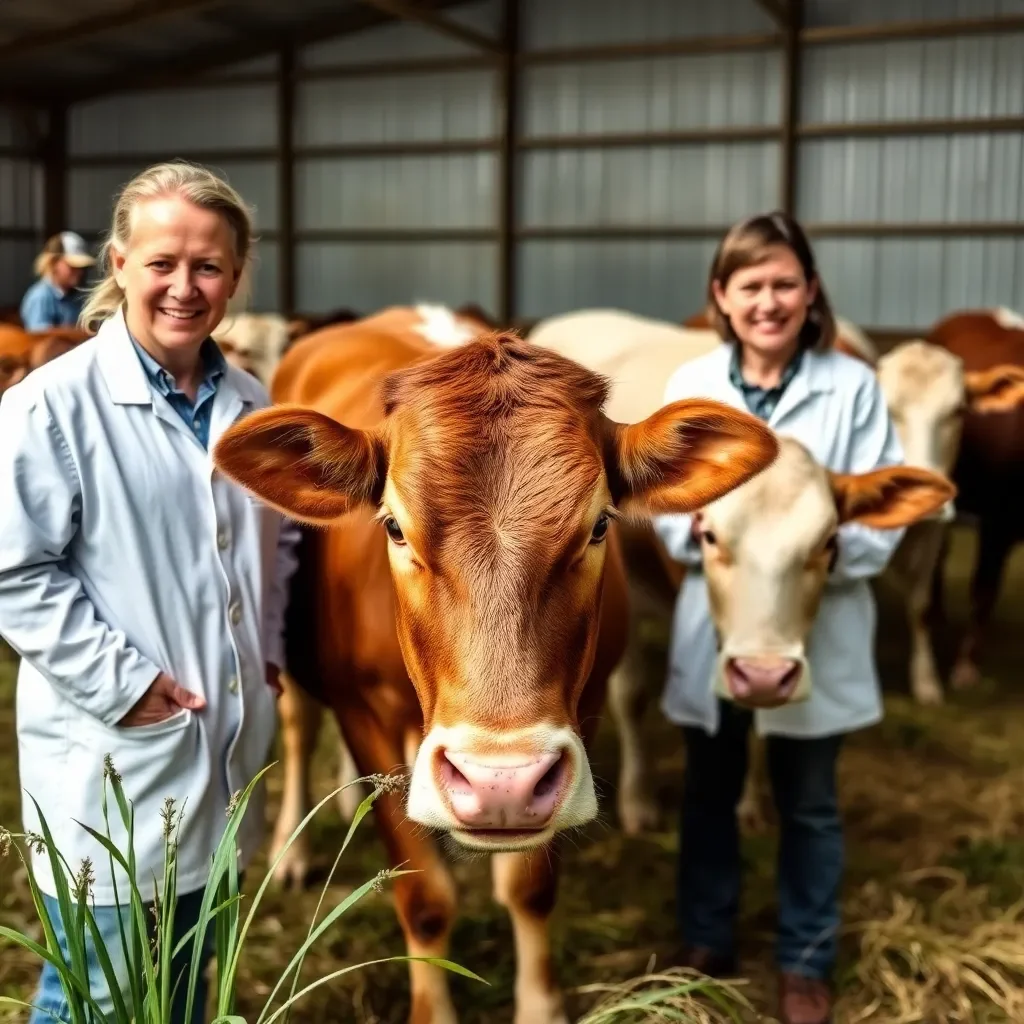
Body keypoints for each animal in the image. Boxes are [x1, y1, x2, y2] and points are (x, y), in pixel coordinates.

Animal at [214, 305, 774, 1024]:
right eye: (393, 525)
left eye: (600, 525)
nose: (498, 782)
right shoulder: (363, 716)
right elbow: (425, 899)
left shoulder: (579, 719)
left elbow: (531, 887)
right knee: (299, 725)